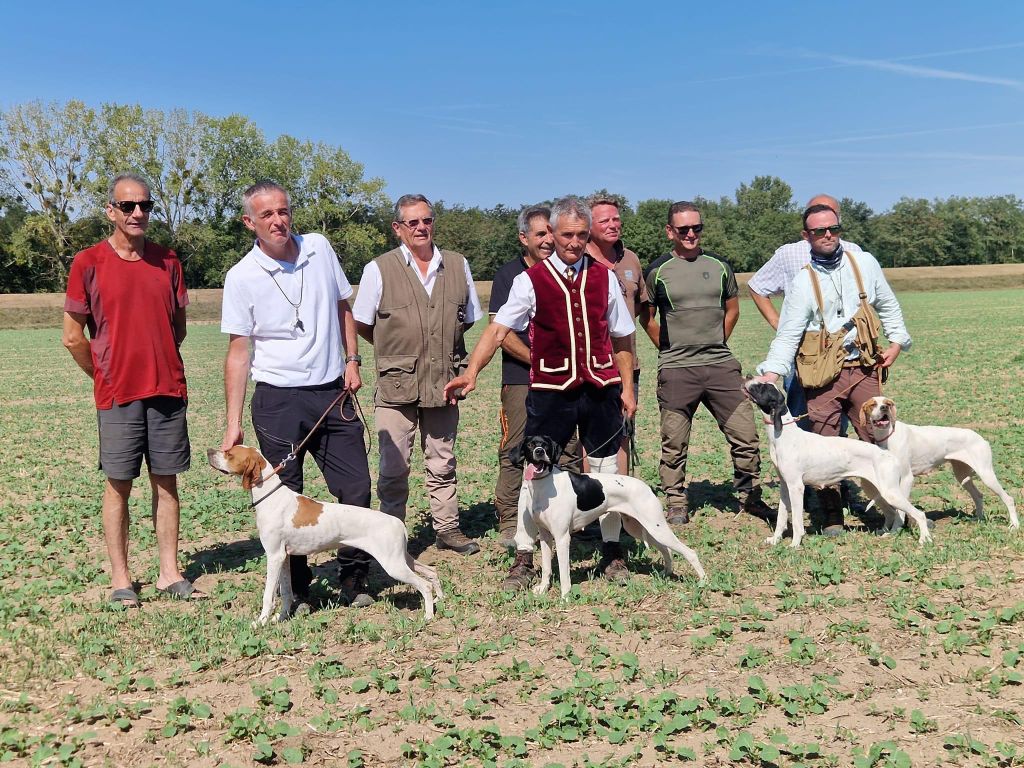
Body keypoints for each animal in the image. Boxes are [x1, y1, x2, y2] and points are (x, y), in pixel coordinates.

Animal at [207, 444, 444, 626]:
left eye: (229, 453)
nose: (209, 451)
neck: (271, 496)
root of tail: (397, 522)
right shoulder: (284, 558)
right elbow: (286, 593)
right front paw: (280, 618)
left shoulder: (273, 556)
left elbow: (268, 596)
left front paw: (261, 622)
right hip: (401, 559)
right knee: (431, 572)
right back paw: (439, 599)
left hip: (393, 565)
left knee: (424, 585)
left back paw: (428, 616)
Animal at [509, 436, 704, 598]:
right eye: (530, 444)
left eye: (546, 445)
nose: (539, 452)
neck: (544, 485)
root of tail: (645, 487)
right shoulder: (545, 537)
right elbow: (547, 568)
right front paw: (543, 589)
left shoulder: (562, 537)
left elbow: (564, 573)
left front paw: (565, 597)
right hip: (642, 528)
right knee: (667, 550)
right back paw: (666, 573)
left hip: (656, 528)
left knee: (690, 552)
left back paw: (703, 581)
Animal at [741, 378, 933, 548]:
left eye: (762, 386)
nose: (748, 377)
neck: (783, 435)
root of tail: (888, 454)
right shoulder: (784, 486)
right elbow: (781, 518)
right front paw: (775, 540)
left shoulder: (796, 487)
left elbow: (796, 521)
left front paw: (795, 544)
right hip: (874, 489)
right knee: (892, 512)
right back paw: (887, 533)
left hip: (890, 492)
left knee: (918, 514)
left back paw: (924, 539)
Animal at [860, 399, 1019, 532]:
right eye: (873, 404)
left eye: (887, 403)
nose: (884, 408)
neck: (889, 435)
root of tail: (980, 437)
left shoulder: (906, 478)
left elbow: (901, 510)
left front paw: (895, 530)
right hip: (962, 476)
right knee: (978, 495)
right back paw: (979, 520)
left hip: (986, 475)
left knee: (1009, 498)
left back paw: (1014, 525)